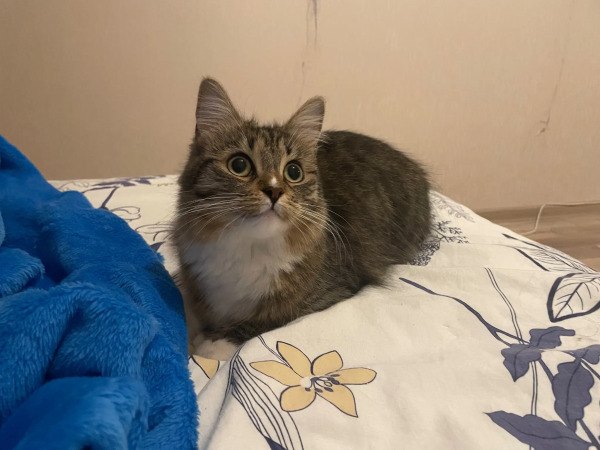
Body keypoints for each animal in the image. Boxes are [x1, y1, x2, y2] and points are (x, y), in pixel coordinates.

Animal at [173, 78, 432, 358]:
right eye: (239, 165)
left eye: (294, 172)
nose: (274, 191)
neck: (247, 247)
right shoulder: (194, 277)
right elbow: (180, 302)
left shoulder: (331, 292)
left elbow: (268, 318)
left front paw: (213, 344)